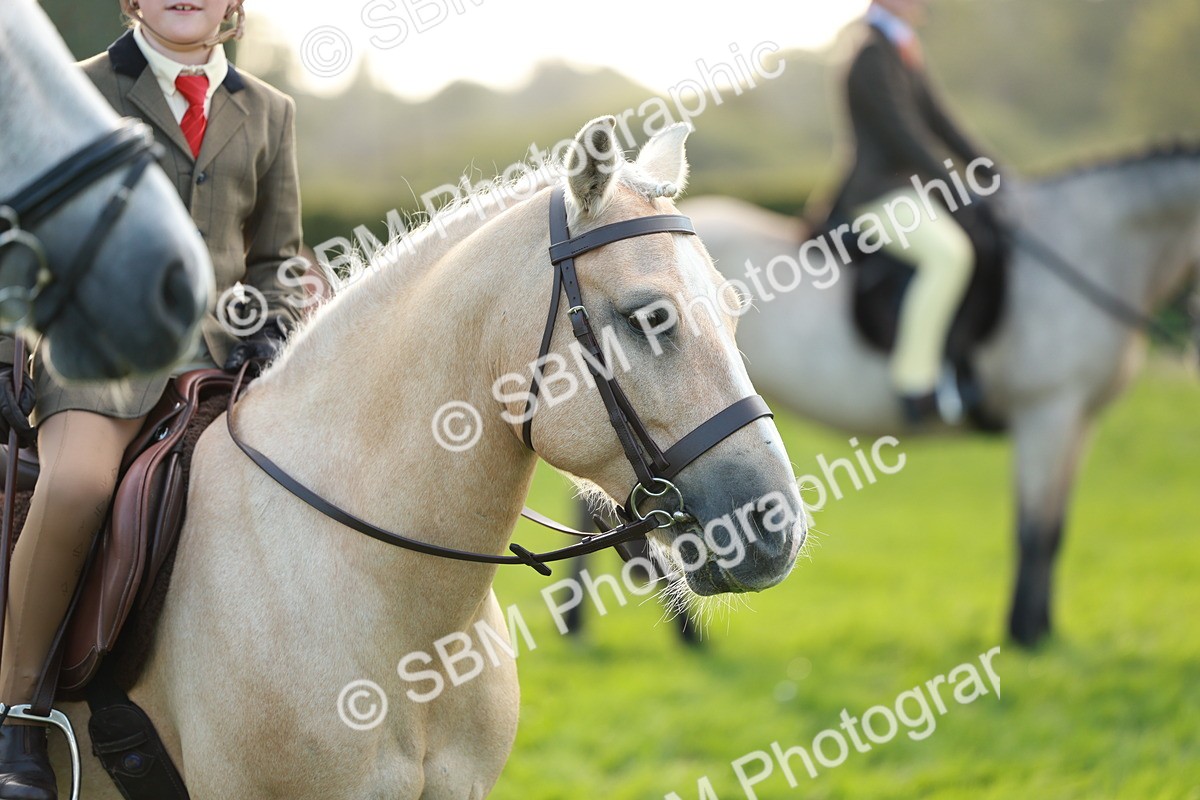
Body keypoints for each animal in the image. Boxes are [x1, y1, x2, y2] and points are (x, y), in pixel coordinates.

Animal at [680, 145, 1200, 647]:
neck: (1094, 245)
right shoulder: (1048, 411)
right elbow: (1032, 532)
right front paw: (1024, 636)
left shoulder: (1080, 418)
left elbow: (1055, 530)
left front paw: (1045, 631)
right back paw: (693, 639)